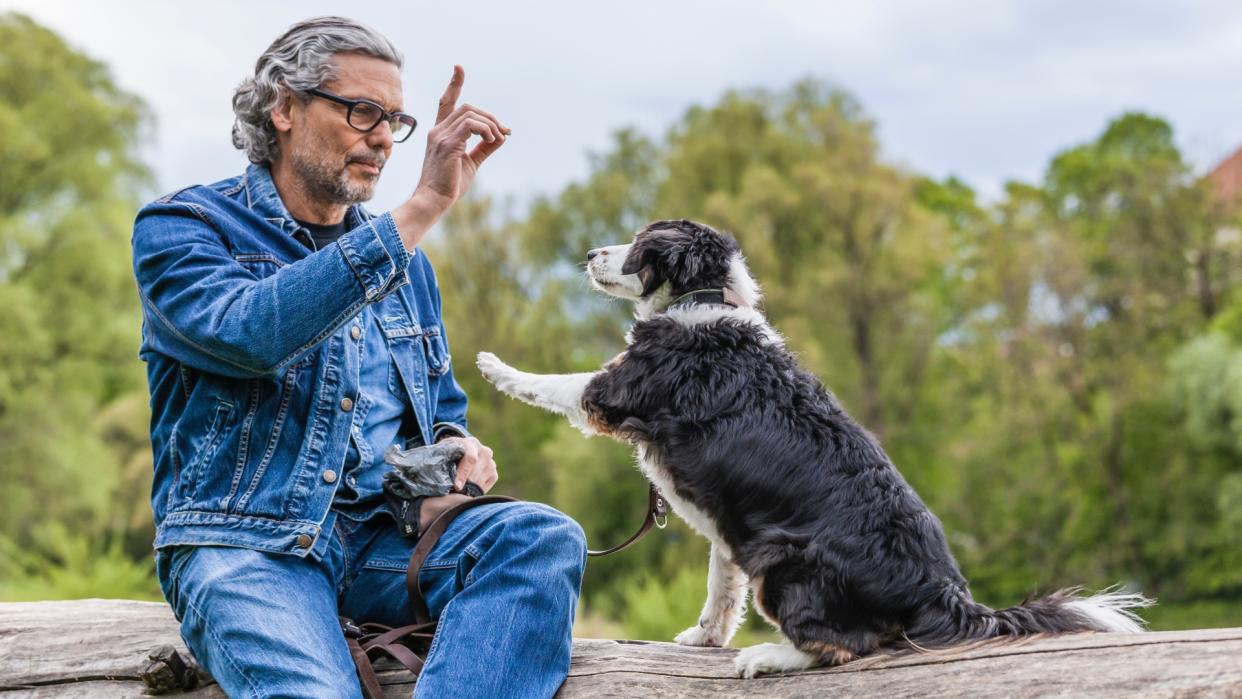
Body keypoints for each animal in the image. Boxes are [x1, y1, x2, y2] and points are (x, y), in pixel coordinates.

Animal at [471, 219, 1142, 680]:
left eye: (640, 243)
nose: (589, 254)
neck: (703, 299)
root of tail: (949, 598)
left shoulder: (613, 390)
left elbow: (551, 383)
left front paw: (492, 365)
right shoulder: (727, 527)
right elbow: (720, 589)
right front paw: (704, 638)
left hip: (780, 560)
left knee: (846, 647)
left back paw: (767, 657)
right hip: (760, 546)